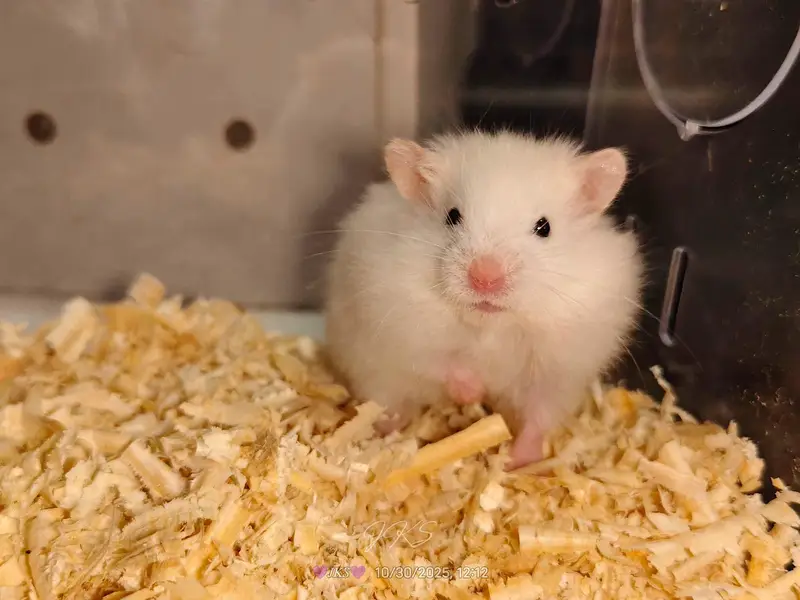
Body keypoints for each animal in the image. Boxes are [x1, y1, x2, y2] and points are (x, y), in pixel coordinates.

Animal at [324, 130, 644, 469]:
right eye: (452, 216)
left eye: (544, 227)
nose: (485, 278)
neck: (491, 325)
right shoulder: (404, 329)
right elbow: (444, 363)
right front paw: (475, 393)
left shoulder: (556, 370)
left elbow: (537, 417)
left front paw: (517, 461)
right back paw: (385, 431)